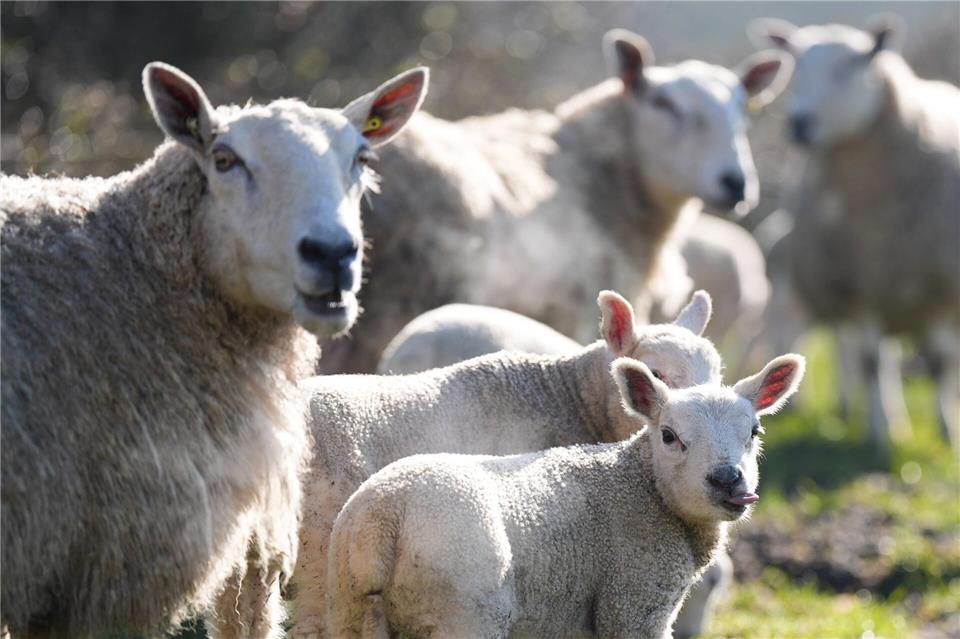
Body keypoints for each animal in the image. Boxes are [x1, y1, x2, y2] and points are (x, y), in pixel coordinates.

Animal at [326, 353, 806, 638]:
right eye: (669, 436)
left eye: (754, 432)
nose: (728, 480)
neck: (641, 488)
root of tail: (385, 518)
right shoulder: (633, 601)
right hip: (462, 606)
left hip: (348, 608)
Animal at [750, 15, 960, 450]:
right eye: (795, 66)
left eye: (851, 64)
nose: (798, 123)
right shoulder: (858, 284)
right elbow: (870, 362)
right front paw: (883, 434)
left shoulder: (939, 287)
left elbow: (941, 363)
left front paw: (947, 431)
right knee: (852, 353)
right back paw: (854, 411)